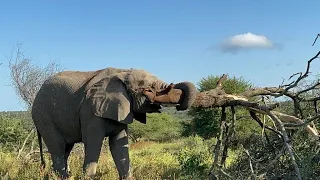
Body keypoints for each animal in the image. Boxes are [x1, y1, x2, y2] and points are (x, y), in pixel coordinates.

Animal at [32, 67, 198, 179]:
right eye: (148, 88)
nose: (179, 107)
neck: (123, 72)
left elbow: (118, 145)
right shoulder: (90, 111)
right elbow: (93, 143)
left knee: (66, 149)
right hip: (44, 118)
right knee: (58, 148)